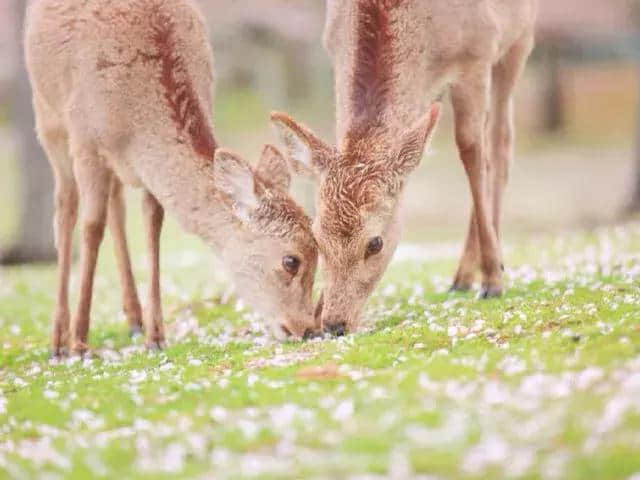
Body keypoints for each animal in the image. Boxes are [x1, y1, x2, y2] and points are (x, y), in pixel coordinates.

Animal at [25, 0, 320, 356]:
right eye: (291, 261)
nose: (307, 329)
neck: (135, 124)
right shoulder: (86, 142)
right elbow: (92, 227)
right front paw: (79, 343)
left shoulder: (145, 171)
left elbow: (153, 224)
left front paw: (156, 336)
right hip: (48, 115)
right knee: (66, 205)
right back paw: (58, 338)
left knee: (117, 203)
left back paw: (134, 320)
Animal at [272, 0, 536, 336]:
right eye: (316, 236)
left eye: (375, 243)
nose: (334, 324)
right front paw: (316, 311)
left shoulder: (478, 52)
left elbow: (472, 152)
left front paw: (493, 279)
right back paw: (464, 277)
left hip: (519, 39)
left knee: (499, 144)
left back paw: (480, 270)